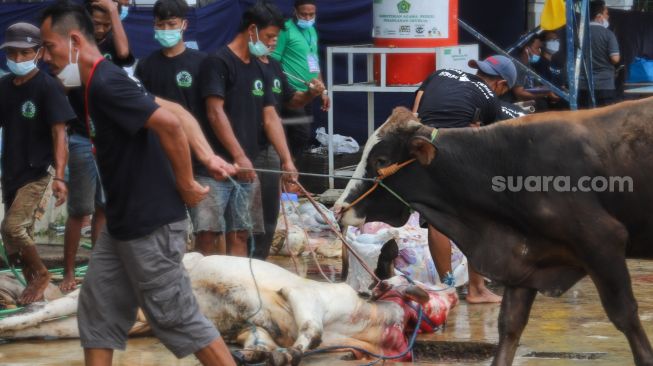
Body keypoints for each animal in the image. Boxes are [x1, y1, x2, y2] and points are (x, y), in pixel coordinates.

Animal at [336, 100, 653, 366]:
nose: (339, 208)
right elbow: (509, 326)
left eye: (380, 160)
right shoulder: (525, 260)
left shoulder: (601, 242)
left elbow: (625, 315)